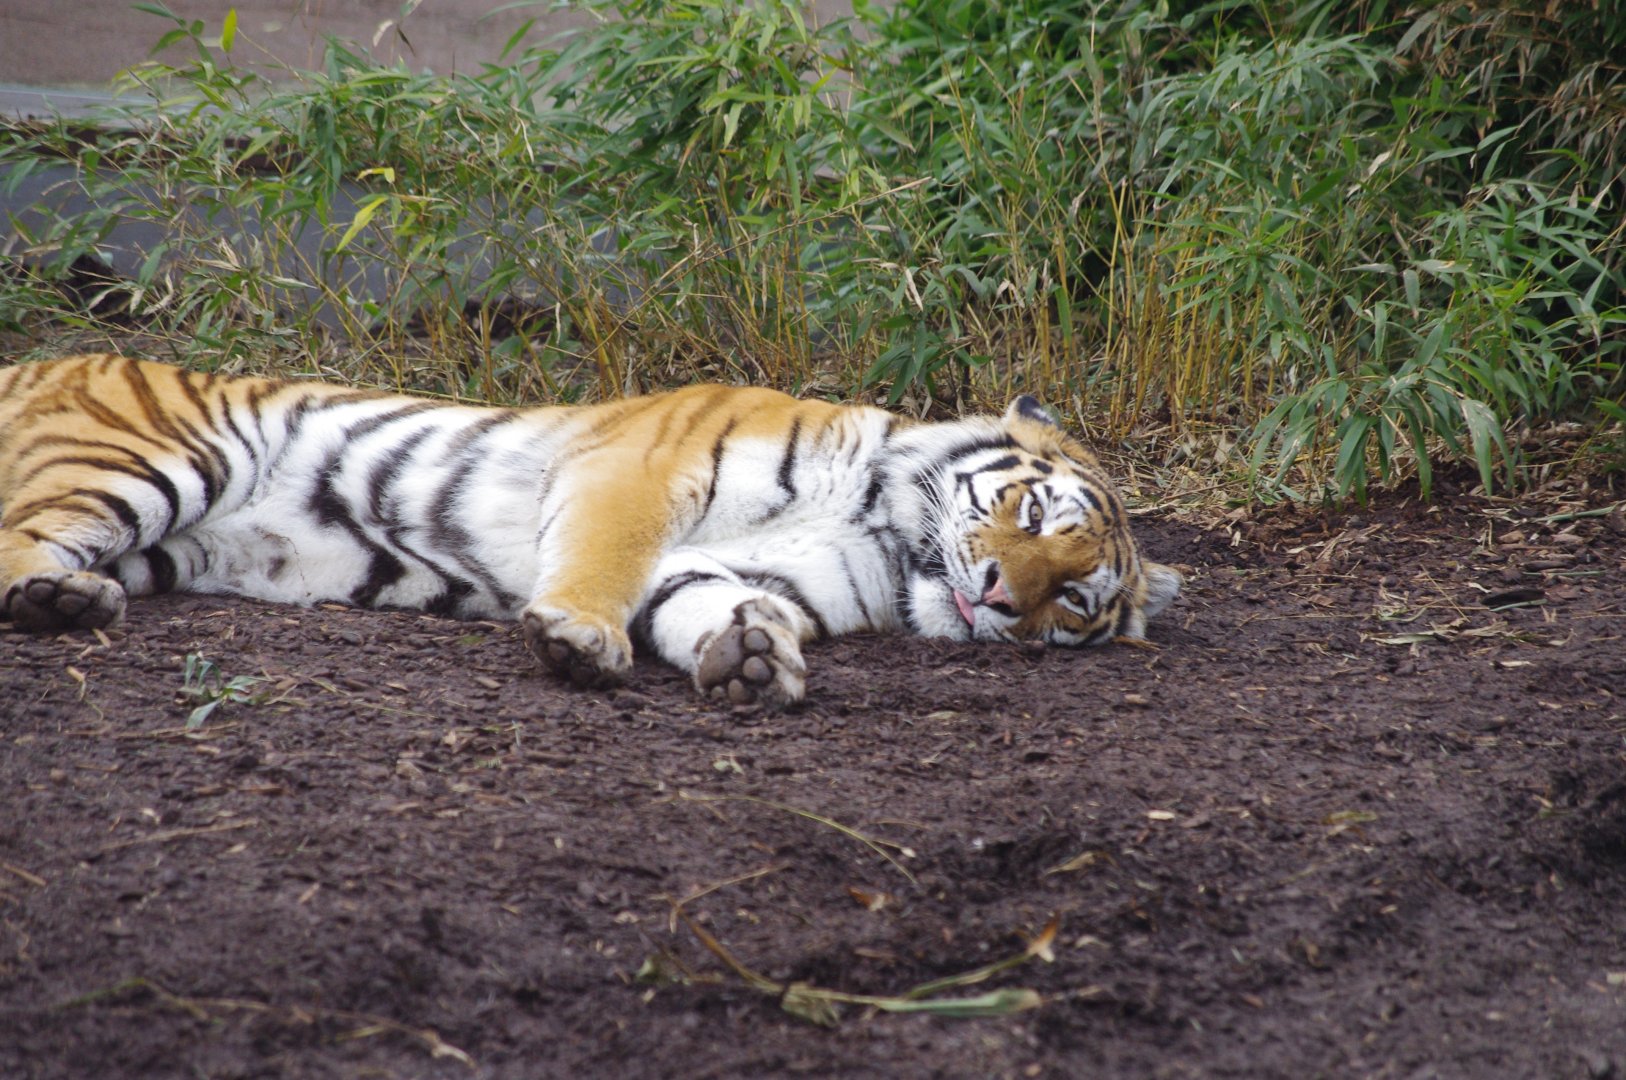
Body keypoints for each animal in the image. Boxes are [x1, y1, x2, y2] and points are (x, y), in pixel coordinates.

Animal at [0, 354, 1182, 706]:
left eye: (1073, 600)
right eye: (1032, 515)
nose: (999, 600)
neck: (892, 537)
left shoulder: (719, 563)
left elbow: (709, 601)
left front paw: (753, 656)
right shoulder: (640, 470)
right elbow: (607, 563)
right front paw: (579, 639)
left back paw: (68, 600)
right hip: (158, 455)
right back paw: (52, 596)